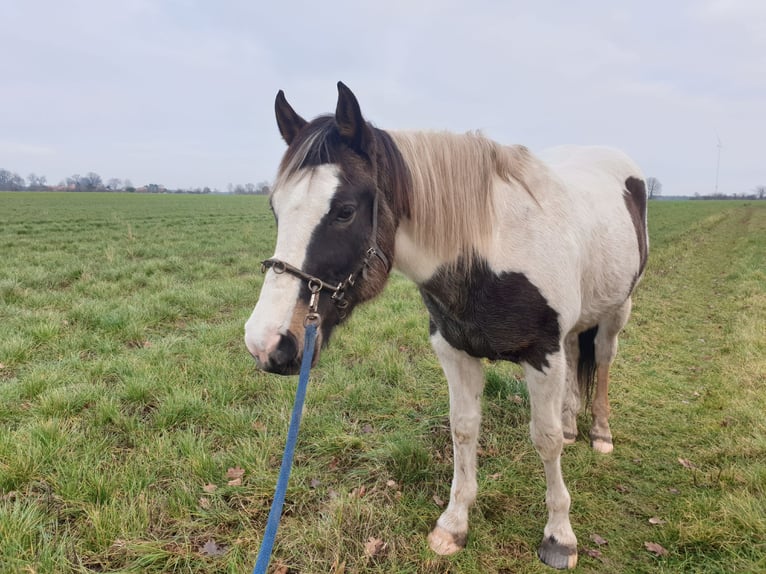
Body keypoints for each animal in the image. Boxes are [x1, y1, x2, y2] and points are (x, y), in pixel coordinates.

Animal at [244, 82, 648, 572]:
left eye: (344, 211)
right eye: (275, 208)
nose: (266, 343)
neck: (488, 250)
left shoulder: (543, 356)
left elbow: (545, 439)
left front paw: (559, 535)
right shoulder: (454, 350)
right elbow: (464, 429)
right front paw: (454, 525)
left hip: (617, 311)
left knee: (602, 362)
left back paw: (599, 434)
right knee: (576, 357)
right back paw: (574, 425)